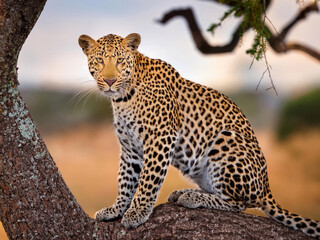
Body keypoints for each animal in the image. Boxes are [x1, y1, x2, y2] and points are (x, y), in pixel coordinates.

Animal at [78, 32, 320, 238]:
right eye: (99, 61)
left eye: (120, 61)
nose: (109, 81)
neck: (122, 98)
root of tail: (267, 188)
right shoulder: (130, 149)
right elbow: (125, 180)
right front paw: (116, 209)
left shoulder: (160, 138)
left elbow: (148, 180)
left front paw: (137, 213)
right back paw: (182, 192)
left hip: (226, 140)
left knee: (237, 204)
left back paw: (192, 197)